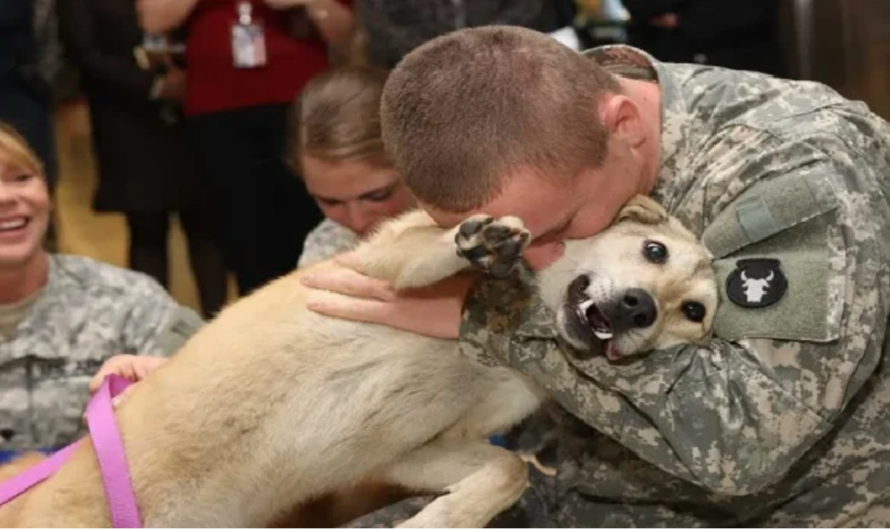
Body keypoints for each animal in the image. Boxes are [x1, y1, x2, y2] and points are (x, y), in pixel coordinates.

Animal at [0, 195, 716, 528]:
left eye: (695, 312)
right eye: (653, 251)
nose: (637, 309)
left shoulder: (412, 452)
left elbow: (509, 469)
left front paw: (440, 518)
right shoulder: (375, 265)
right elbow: (427, 250)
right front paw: (478, 244)